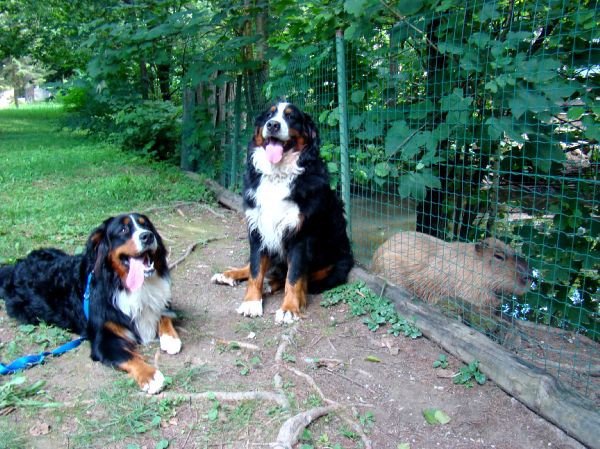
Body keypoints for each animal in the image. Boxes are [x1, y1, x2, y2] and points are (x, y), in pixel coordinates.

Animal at [1, 214, 182, 392]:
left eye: (147, 226)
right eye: (123, 230)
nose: (148, 236)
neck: (123, 285)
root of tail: (14, 267)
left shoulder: (160, 303)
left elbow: (164, 316)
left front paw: (170, 339)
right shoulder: (104, 339)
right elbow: (130, 357)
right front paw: (151, 376)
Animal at [212, 101, 354, 322]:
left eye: (291, 117)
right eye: (268, 115)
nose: (273, 125)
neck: (277, 175)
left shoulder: (301, 235)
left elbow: (294, 277)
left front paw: (289, 308)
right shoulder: (257, 229)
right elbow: (255, 270)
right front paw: (251, 302)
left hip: (335, 267)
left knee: (297, 278)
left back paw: (271, 285)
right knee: (255, 268)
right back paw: (228, 275)